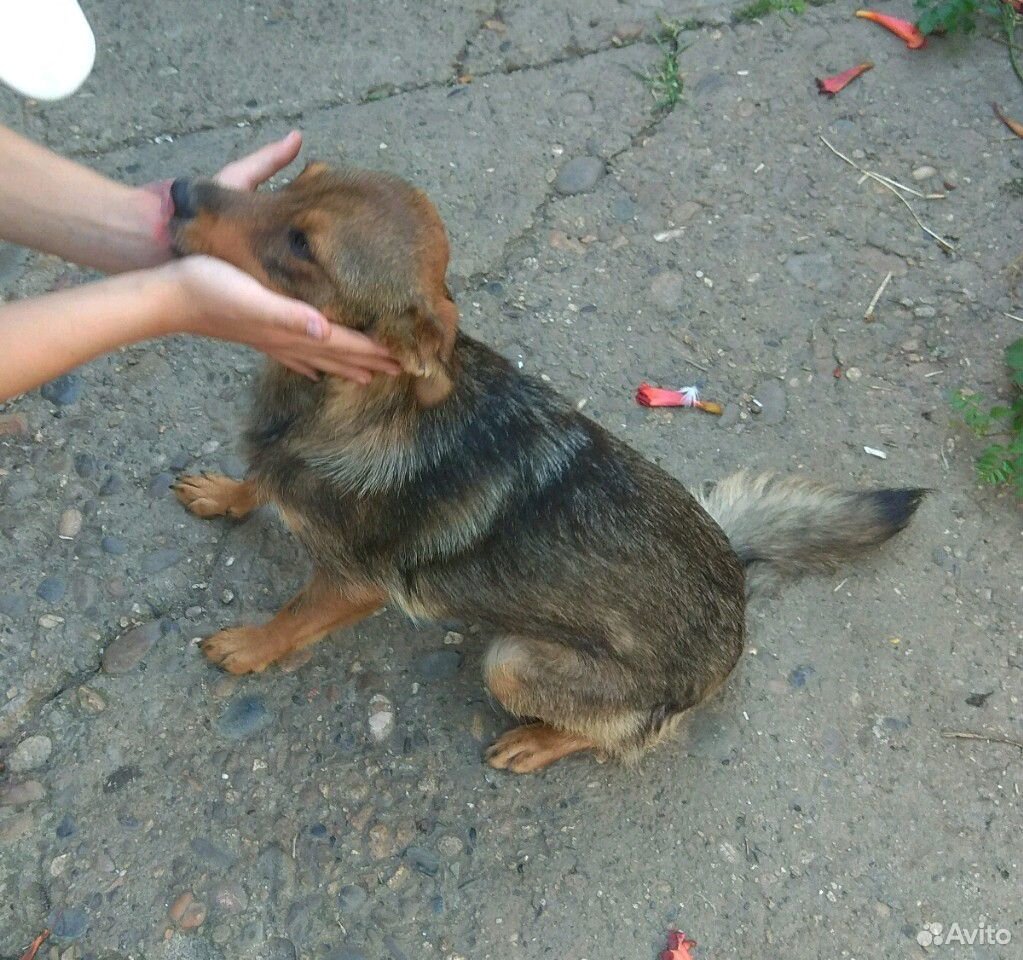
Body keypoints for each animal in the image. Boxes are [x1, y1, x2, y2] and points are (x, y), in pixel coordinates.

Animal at [165, 162, 920, 769]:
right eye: (294, 179)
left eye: (302, 245)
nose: (176, 191)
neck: (345, 402)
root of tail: (735, 584)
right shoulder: (280, 463)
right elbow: (258, 479)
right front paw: (222, 492)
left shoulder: (351, 585)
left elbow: (292, 617)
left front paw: (250, 647)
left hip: (512, 662)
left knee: (609, 739)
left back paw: (536, 742)